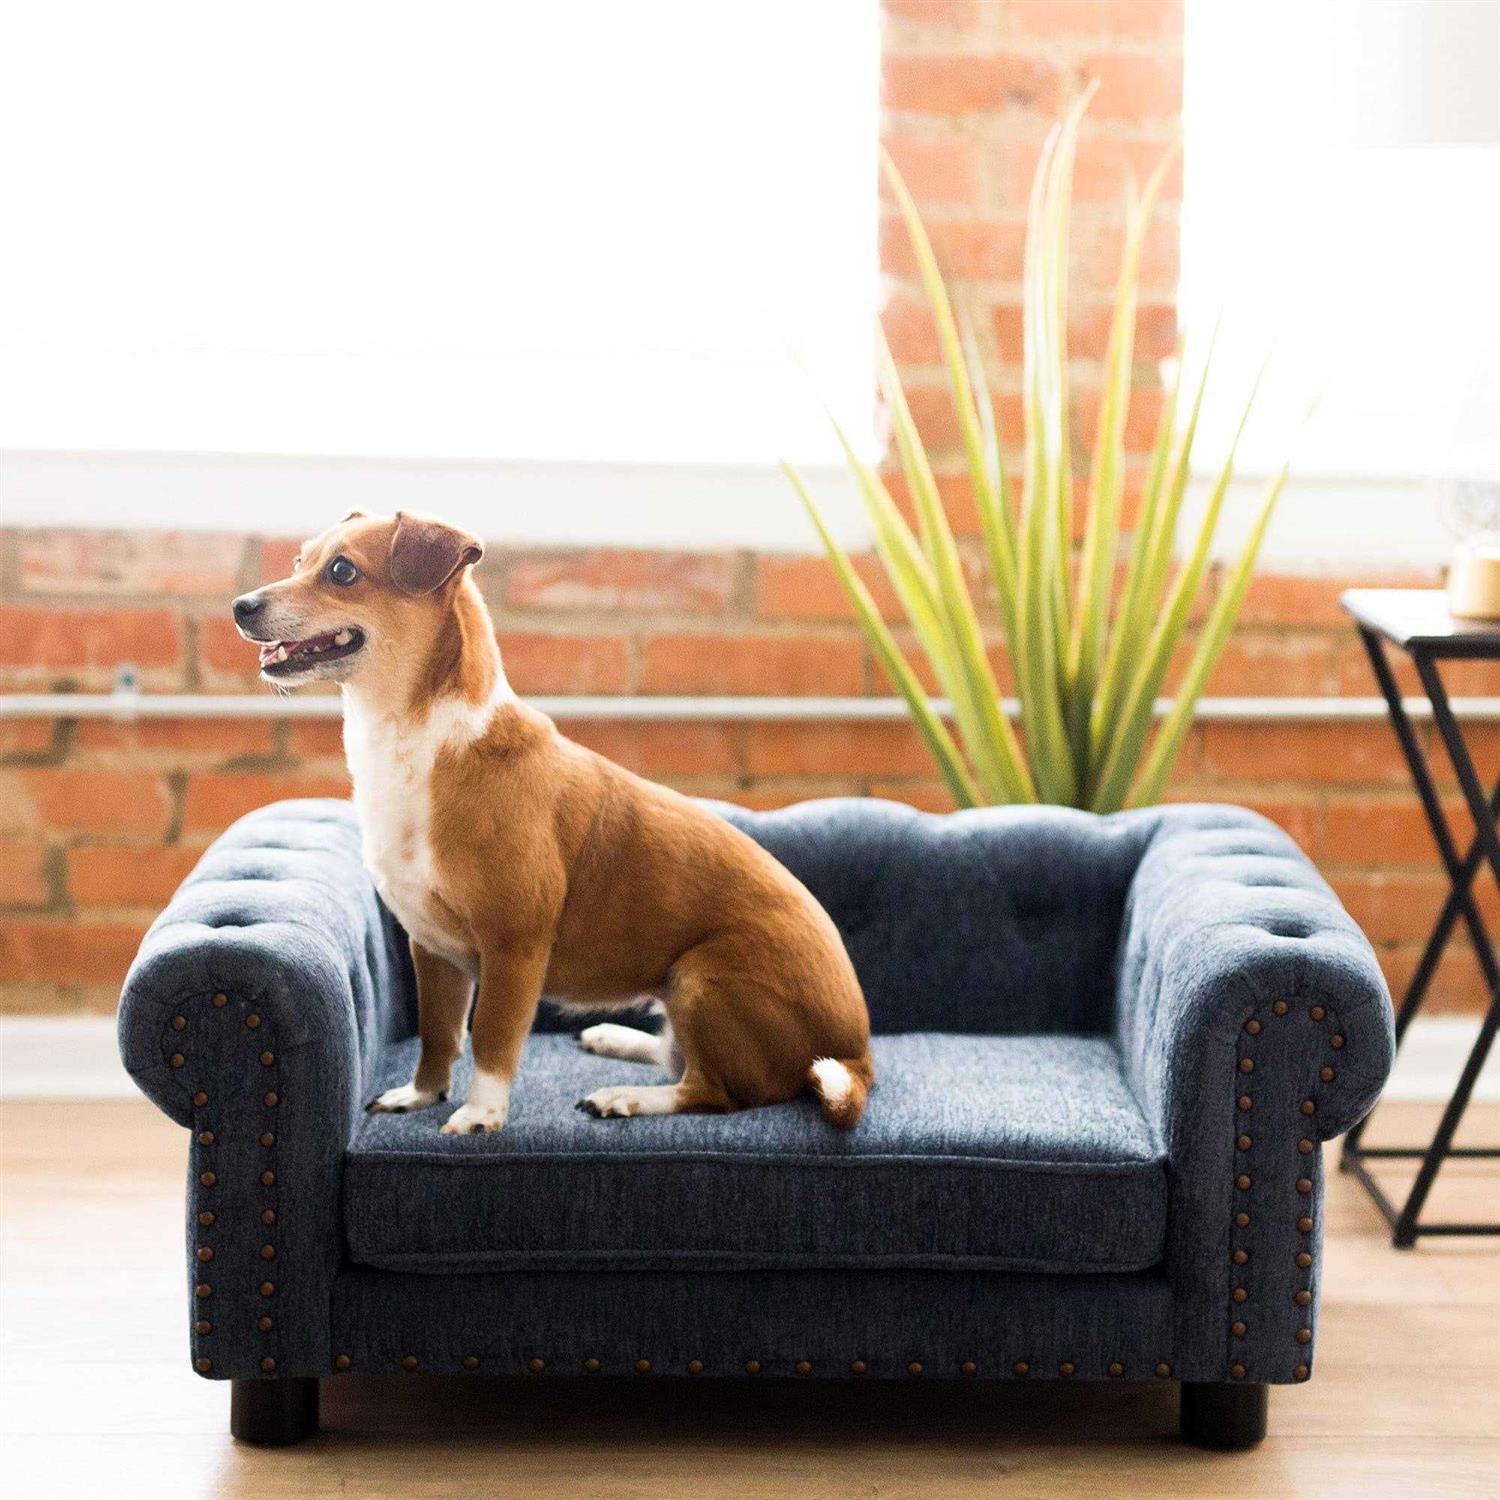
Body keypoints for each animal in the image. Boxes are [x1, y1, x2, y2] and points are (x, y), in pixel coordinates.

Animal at [231, 510, 873, 1134]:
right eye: (299, 561)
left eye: (342, 571)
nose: (240, 605)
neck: (418, 740)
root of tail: (858, 1053)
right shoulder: (431, 948)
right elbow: (439, 1035)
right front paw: (421, 1094)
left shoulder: (513, 946)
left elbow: (491, 1039)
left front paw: (480, 1115)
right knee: (676, 1057)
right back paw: (617, 1038)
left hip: (701, 979)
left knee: (711, 1090)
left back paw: (624, 1097)